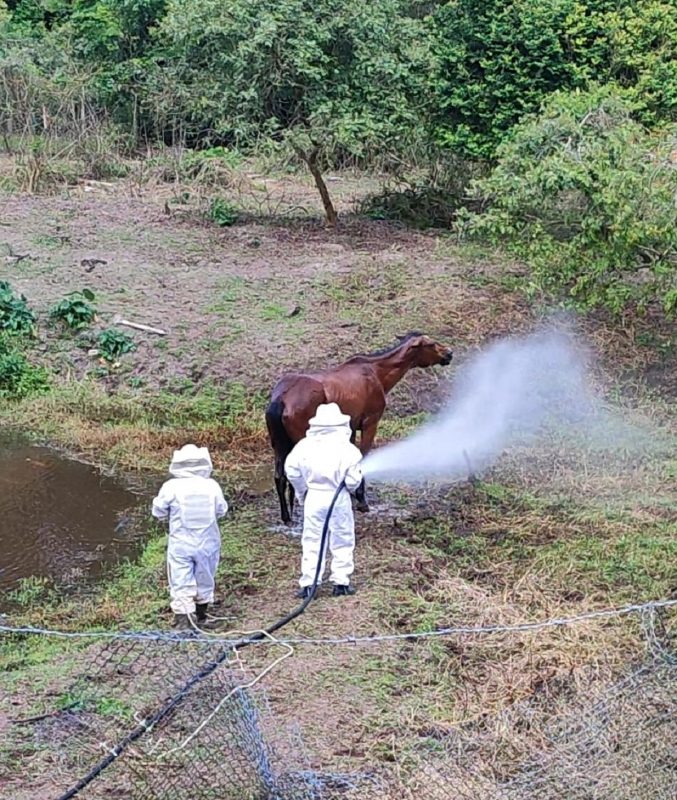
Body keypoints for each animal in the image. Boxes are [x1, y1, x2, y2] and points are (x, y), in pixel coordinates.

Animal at [266, 332, 452, 524]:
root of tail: (281, 399)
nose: (449, 353)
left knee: (280, 477)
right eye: (430, 344)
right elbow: (362, 459)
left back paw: (286, 516)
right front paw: (361, 500)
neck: (377, 373)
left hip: (280, 445)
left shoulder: (352, 428)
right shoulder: (370, 423)